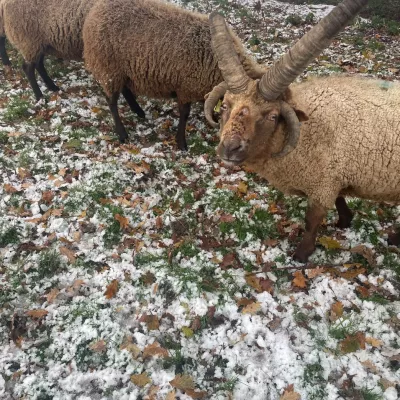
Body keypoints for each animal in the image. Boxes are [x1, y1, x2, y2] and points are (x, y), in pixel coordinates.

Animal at [1, 0, 145, 119]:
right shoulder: (114, 58)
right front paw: (137, 109)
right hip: (29, 40)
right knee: (28, 68)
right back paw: (40, 97)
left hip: (41, 42)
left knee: (39, 65)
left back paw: (52, 87)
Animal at [82, 0, 266, 149]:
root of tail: (96, 9)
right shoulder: (186, 87)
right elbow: (184, 114)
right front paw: (181, 143)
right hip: (109, 68)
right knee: (111, 101)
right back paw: (122, 134)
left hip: (123, 70)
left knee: (125, 89)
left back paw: (138, 111)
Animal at [203, 0, 400, 262]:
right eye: (225, 105)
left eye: (273, 116)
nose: (229, 148)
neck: (308, 131)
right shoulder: (332, 177)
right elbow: (340, 199)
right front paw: (345, 220)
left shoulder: (323, 183)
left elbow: (311, 221)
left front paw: (302, 254)